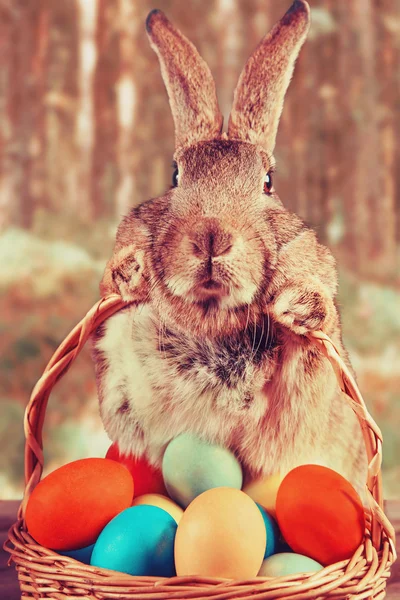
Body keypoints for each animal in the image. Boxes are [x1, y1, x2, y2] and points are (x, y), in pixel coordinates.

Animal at [92, 0, 368, 496]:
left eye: (268, 181)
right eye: (175, 174)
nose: (211, 237)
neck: (211, 314)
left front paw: (298, 307)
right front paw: (129, 271)